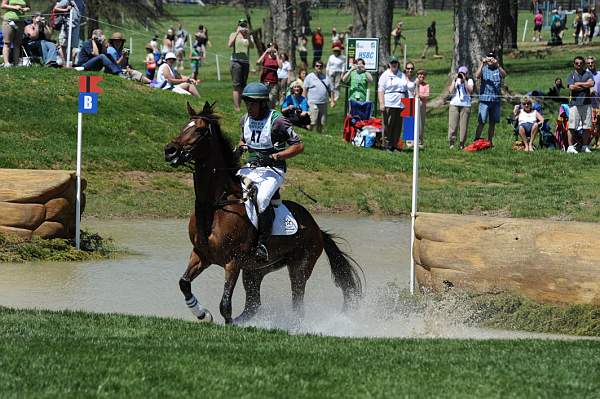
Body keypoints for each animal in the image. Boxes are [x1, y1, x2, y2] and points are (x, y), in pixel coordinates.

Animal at [162, 102, 364, 324]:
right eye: (183, 126)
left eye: (199, 130)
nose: (170, 151)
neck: (215, 205)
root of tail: (317, 228)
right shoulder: (200, 255)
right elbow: (184, 284)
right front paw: (202, 313)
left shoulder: (232, 262)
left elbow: (225, 305)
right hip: (255, 270)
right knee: (253, 305)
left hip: (299, 268)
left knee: (297, 306)